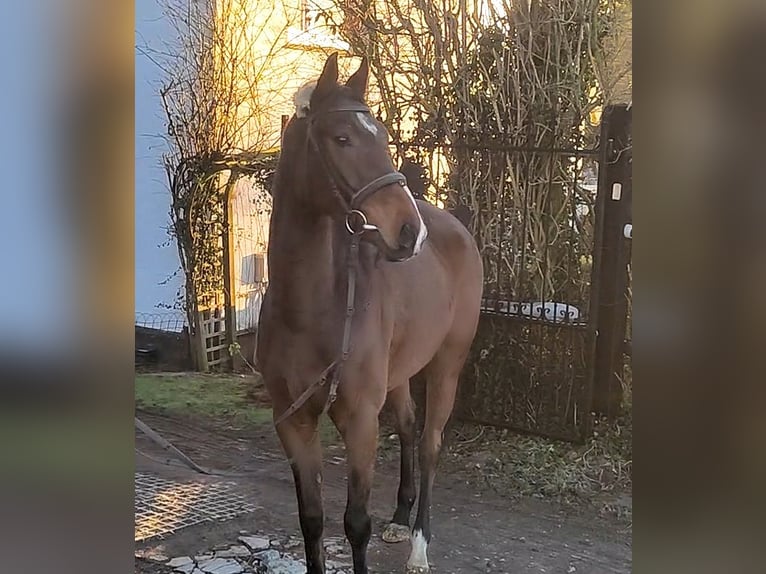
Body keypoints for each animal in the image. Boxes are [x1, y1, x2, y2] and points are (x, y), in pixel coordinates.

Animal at [260, 51, 484, 572]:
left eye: (381, 135)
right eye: (341, 138)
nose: (408, 232)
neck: (310, 310)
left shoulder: (360, 420)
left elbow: (355, 524)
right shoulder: (292, 422)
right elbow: (312, 520)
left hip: (447, 364)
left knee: (430, 443)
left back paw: (419, 544)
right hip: (400, 372)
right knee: (407, 426)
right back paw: (401, 519)